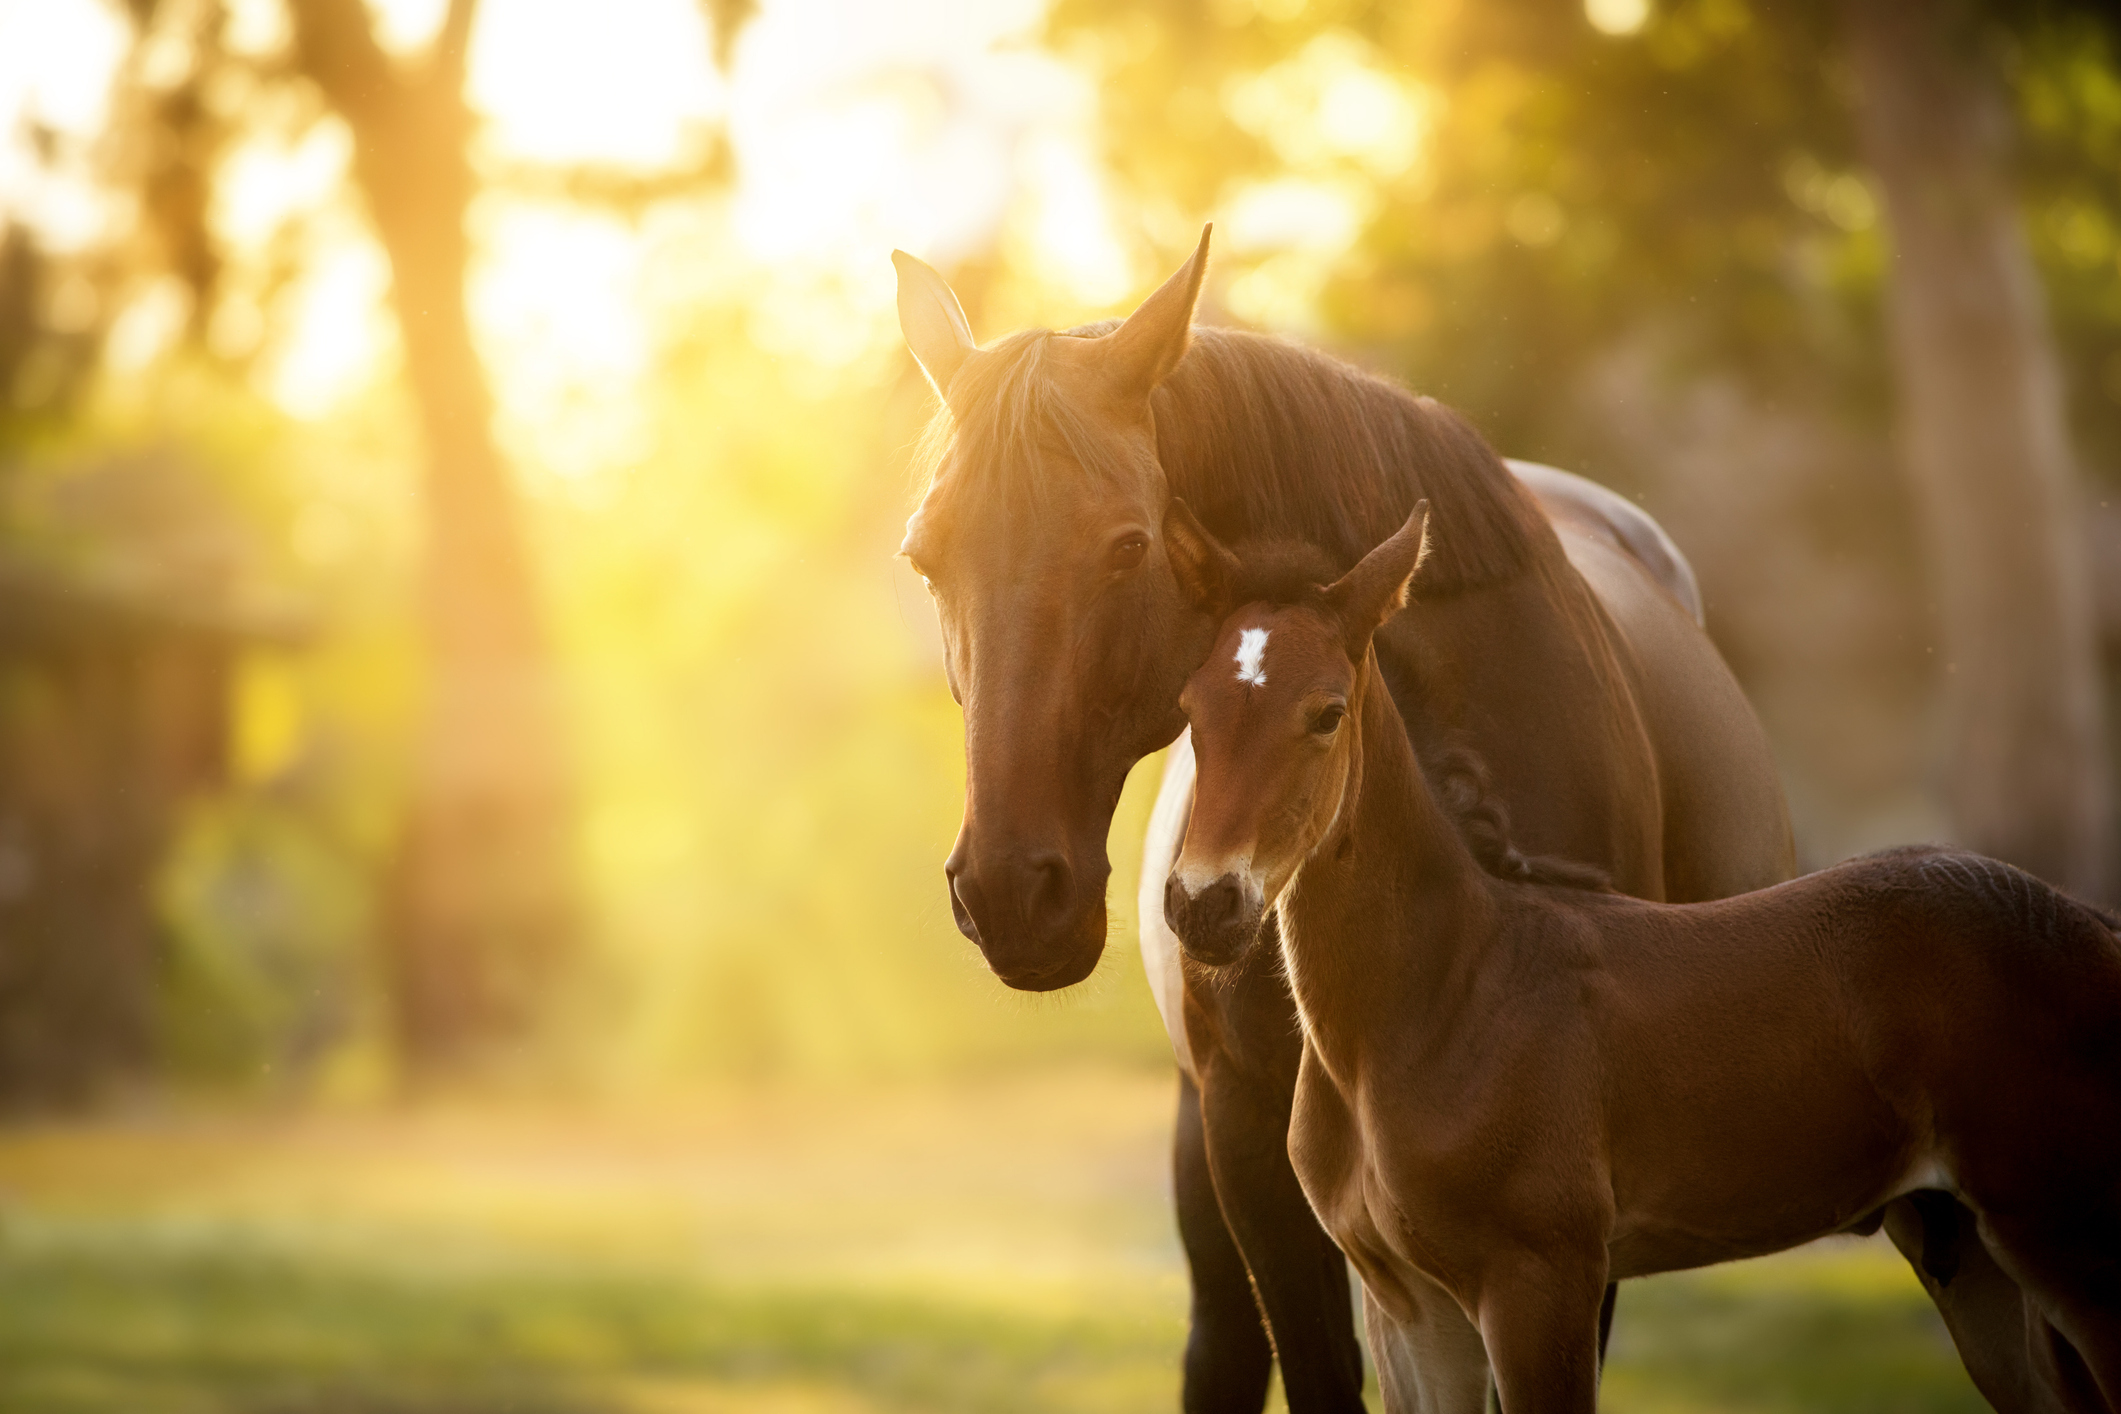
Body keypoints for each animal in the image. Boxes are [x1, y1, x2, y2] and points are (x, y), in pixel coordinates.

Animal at [1163, 501, 2121, 1414]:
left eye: (1325, 713)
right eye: (1188, 711)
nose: (1202, 903)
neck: (1438, 993)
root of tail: (2089, 925)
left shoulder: (1540, 1279)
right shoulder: (1409, 1309)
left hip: (2064, 1237)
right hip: (1969, 1256)